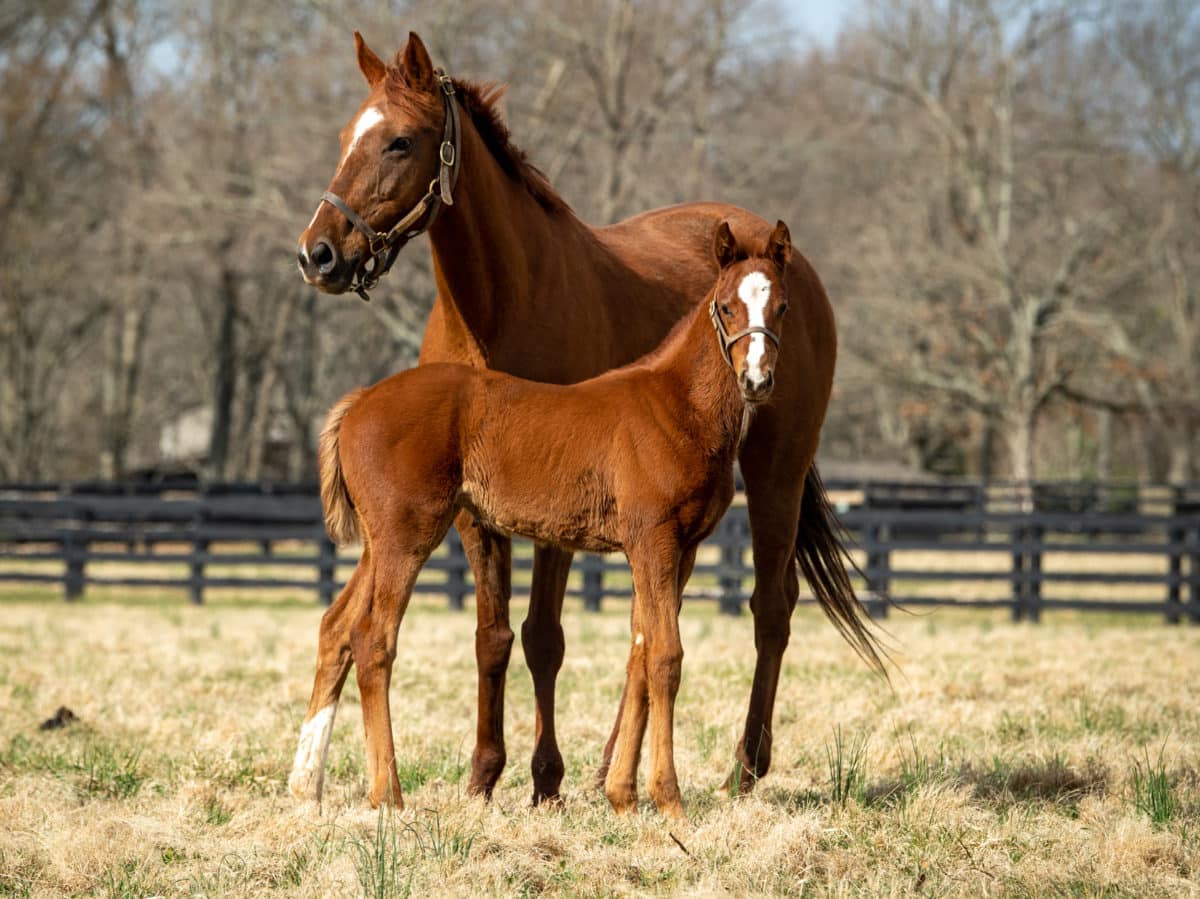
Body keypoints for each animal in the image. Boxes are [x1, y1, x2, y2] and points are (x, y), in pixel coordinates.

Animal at [290, 219, 792, 811]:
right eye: (727, 307)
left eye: (782, 306)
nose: (756, 380)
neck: (676, 406)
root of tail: (361, 401)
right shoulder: (653, 540)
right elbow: (666, 657)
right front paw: (668, 800)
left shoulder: (683, 549)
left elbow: (640, 654)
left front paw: (622, 796)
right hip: (406, 535)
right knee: (373, 638)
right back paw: (387, 794)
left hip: (380, 540)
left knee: (336, 626)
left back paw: (305, 785)